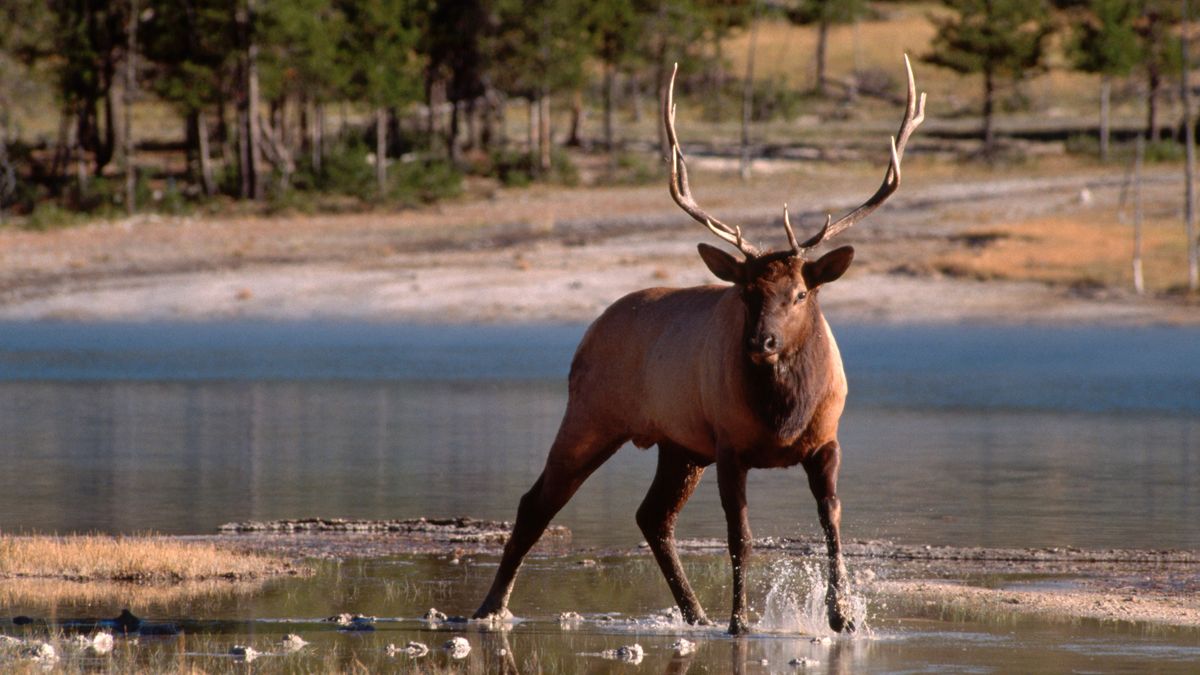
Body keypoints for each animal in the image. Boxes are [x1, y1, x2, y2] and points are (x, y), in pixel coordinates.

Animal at [472, 56, 921, 629]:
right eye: (746, 292)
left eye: (800, 293)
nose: (761, 342)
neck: (784, 413)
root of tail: (588, 333)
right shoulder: (729, 445)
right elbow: (740, 538)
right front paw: (741, 620)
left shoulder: (825, 441)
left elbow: (833, 525)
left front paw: (842, 616)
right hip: (592, 415)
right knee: (538, 502)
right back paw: (491, 607)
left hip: (679, 445)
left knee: (652, 515)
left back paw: (695, 613)